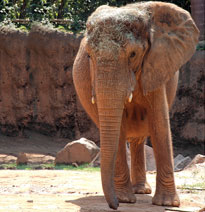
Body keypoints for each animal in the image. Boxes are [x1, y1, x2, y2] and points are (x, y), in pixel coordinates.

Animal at [72, 1, 199, 210]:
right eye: (89, 56)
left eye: (133, 54)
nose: (114, 205)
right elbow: (119, 127)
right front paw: (125, 199)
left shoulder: (156, 65)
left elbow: (160, 124)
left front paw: (167, 203)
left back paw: (141, 191)